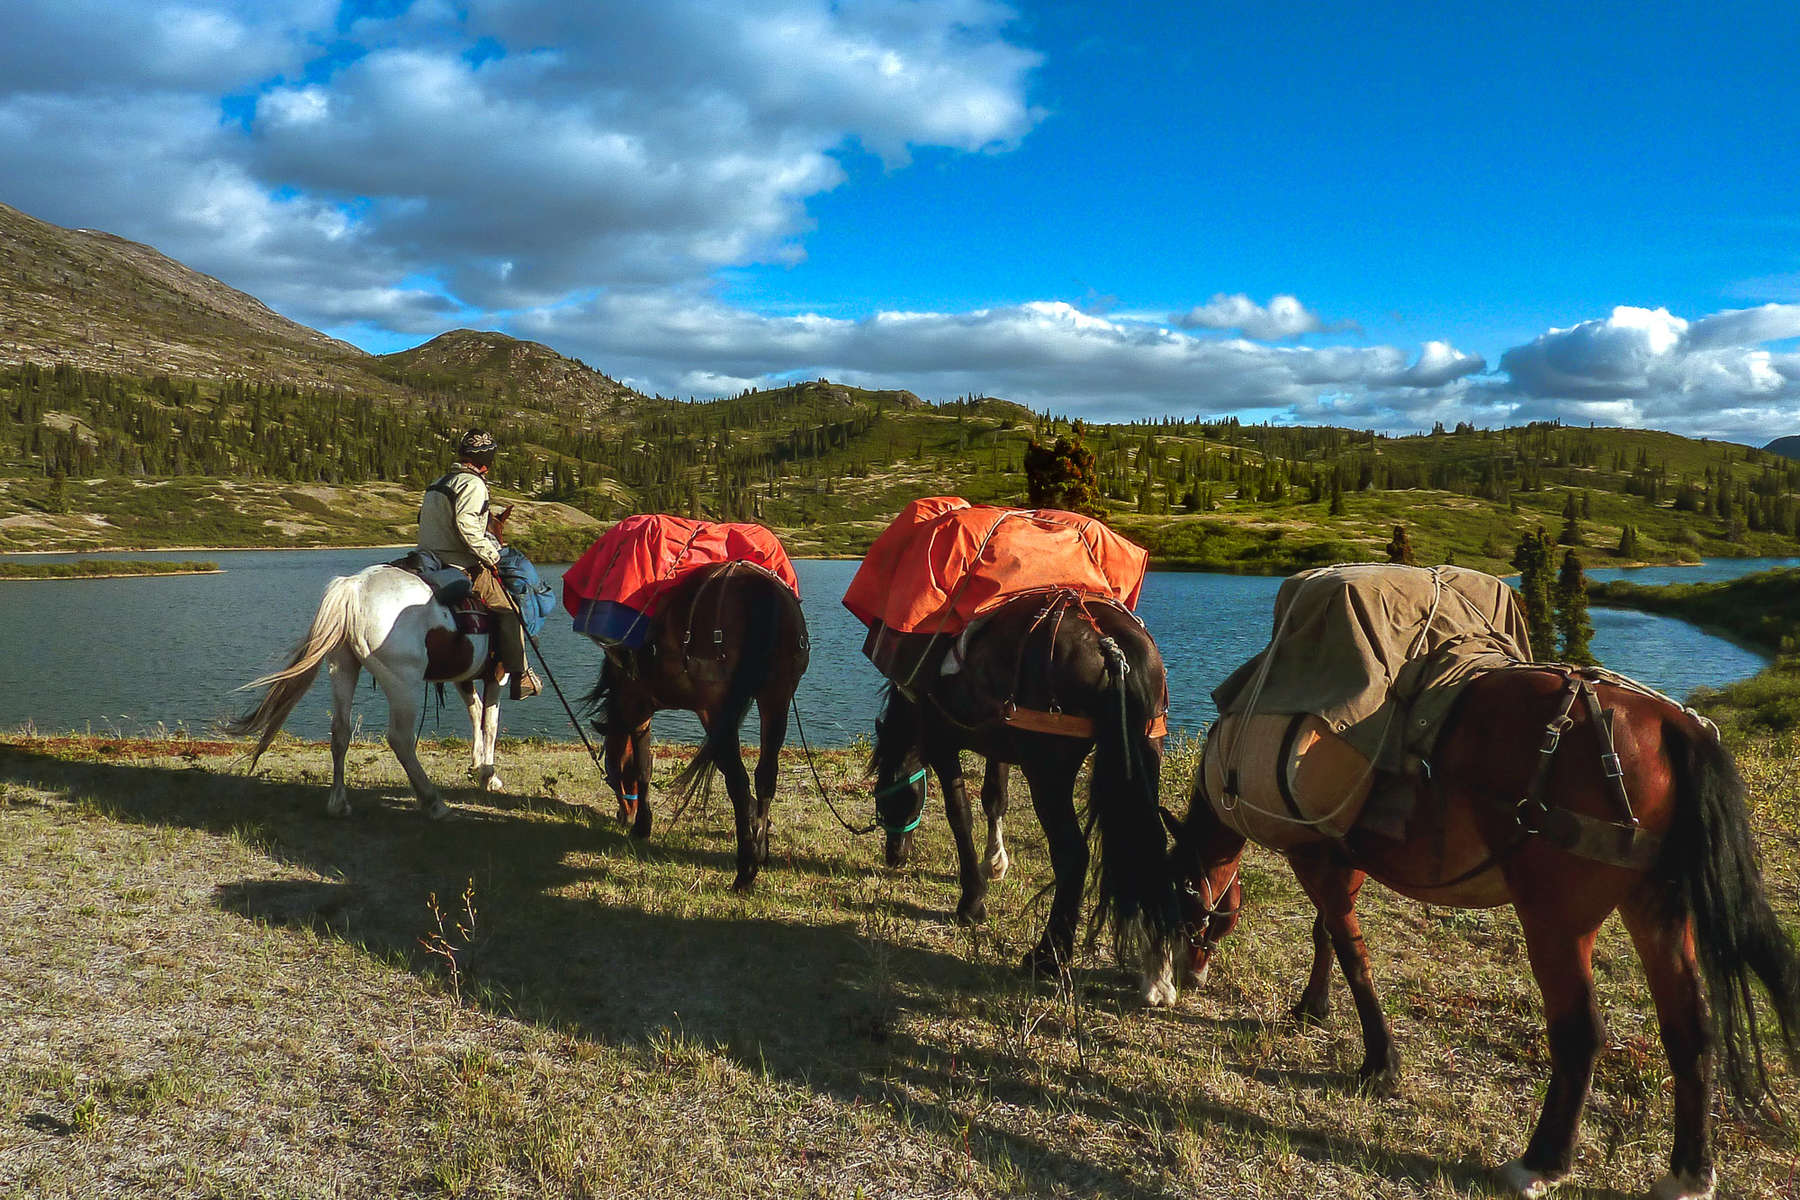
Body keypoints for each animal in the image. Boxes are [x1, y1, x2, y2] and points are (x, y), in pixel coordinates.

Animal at [225, 564, 511, 816]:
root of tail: (353, 587)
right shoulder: (497, 674)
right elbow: (490, 723)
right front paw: (488, 776)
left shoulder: (465, 677)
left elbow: (476, 714)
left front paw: (477, 766)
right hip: (403, 684)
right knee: (400, 739)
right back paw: (433, 803)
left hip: (342, 667)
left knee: (340, 730)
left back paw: (338, 804)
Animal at [583, 564, 810, 892]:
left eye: (612, 777)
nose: (623, 815)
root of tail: (757, 589)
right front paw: (760, 832)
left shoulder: (640, 710)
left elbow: (643, 766)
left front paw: (643, 826)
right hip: (775, 699)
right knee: (765, 775)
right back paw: (758, 852)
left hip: (722, 709)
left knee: (738, 781)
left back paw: (745, 870)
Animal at [871, 586, 1180, 993]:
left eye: (887, 796)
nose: (894, 855)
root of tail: (1109, 644)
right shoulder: (998, 744)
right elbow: (994, 798)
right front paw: (995, 863)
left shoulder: (942, 744)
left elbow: (959, 814)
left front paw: (972, 901)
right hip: (1146, 752)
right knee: (1147, 846)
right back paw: (1158, 974)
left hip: (1047, 772)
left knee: (1072, 854)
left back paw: (1048, 956)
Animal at [1152, 665, 1800, 1200]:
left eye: (1182, 897)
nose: (1190, 969)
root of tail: (1670, 724)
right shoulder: (1343, 861)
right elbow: (1327, 936)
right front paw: (1315, 1006)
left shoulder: (1317, 858)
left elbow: (1350, 950)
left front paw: (1378, 1061)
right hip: (1656, 912)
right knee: (1690, 1029)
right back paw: (1689, 1173)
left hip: (1557, 924)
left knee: (1581, 1034)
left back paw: (1541, 1163)